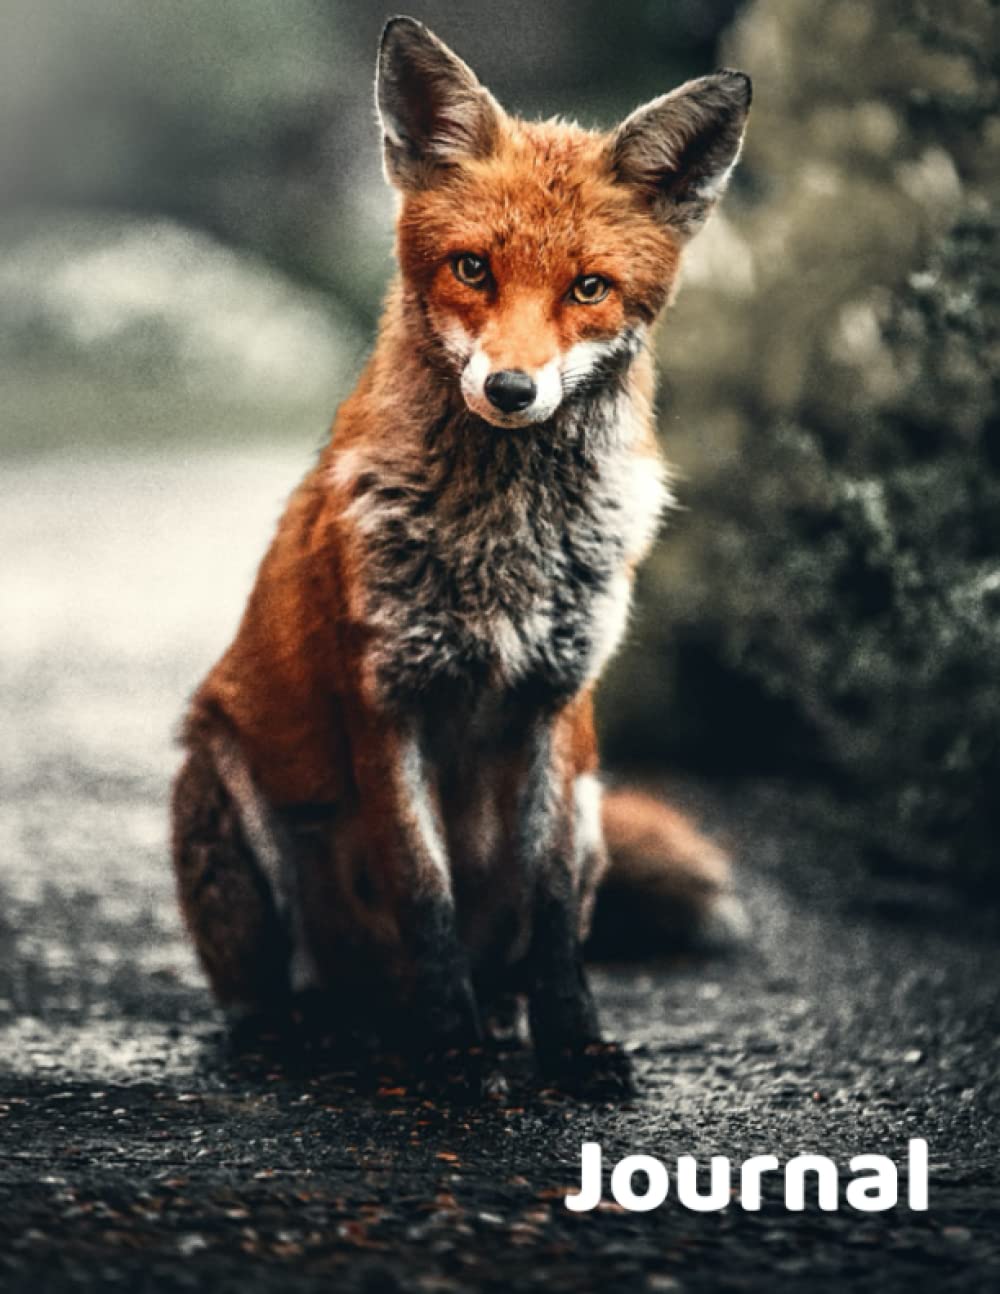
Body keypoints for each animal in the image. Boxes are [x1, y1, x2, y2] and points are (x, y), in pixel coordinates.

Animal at [171, 16, 751, 1097]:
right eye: (473, 268)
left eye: (589, 288)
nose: (513, 389)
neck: (503, 546)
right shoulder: (385, 699)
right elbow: (425, 893)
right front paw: (451, 1054)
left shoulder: (558, 705)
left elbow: (554, 914)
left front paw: (572, 1043)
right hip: (225, 784)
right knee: (276, 993)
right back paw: (317, 1032)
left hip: (595, 802)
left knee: (512, 953)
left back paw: (494, 1018)